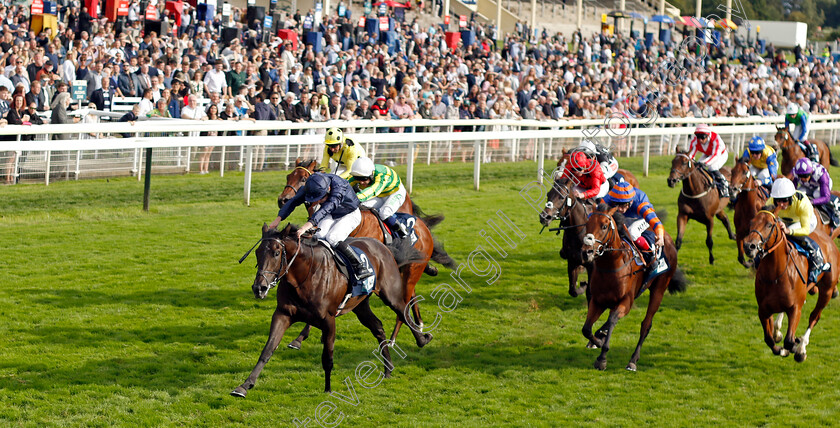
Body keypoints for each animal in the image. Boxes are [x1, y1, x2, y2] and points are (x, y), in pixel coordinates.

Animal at [231, 224, 434, 398]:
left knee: (403, 312)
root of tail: (384, 246)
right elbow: (267, 350)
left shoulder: (328, 320)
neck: (304, 276)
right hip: (360, 305)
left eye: (276, 252)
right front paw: (244, 386)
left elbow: (327, 357)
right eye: (257, 253)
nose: (259, 288)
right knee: (377, 327)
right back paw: (388, 368)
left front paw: (328, 389)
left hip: (390, 294)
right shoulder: (283, 314)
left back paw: (423, 339)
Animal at [278, 159, 456, 350]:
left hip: (410, 270)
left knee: (403, 302)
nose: (283, 200)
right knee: (410, 296)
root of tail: (424, 228)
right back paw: (419, 323)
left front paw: (301, 336)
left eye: (303, 179)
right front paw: (301, 337)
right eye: (288, 176)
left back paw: (394, 339)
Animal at [580, 206, 684, 370]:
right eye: (587, 224)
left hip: (659, 290)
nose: (586, 252)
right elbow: (586, 329)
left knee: (646, 325)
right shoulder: (597, 301)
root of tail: (667, 238)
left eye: (604, 226)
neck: (611, 267)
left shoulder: (626, 302)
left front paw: (602, 358)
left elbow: (612, 320)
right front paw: (598, 340)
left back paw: (633, 360)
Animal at [744, 209, 836, 362]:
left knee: (814, 317)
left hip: (827, 290)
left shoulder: (795, 308)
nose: (748, 246)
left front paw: (794, 347)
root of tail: (829, 239)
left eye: (769, 225)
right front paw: (781, 348)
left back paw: (801, 348)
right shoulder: (763, 309)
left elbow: (789, 341)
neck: (775, 275)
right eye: (751, 222)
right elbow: (769, 339)